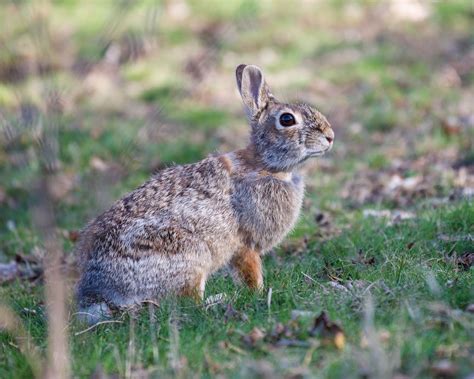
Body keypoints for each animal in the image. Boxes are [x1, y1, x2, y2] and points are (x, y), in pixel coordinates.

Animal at [75, 64, 334, 324]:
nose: (330, 136)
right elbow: (250, 272)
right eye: (287, 119)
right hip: (188, 257)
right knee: (187, 303)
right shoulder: (244, 244)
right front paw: (258, 293)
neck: (266, 166)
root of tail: (99, 294)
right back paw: (217, 301)